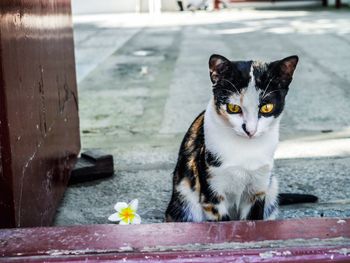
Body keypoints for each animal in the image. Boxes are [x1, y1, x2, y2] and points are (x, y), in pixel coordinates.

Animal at [166, 54, 318, 223]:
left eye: (267, 107)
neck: (246, 150)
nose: (250, 130)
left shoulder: (257, 190)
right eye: (234, 108)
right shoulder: (212, 195)